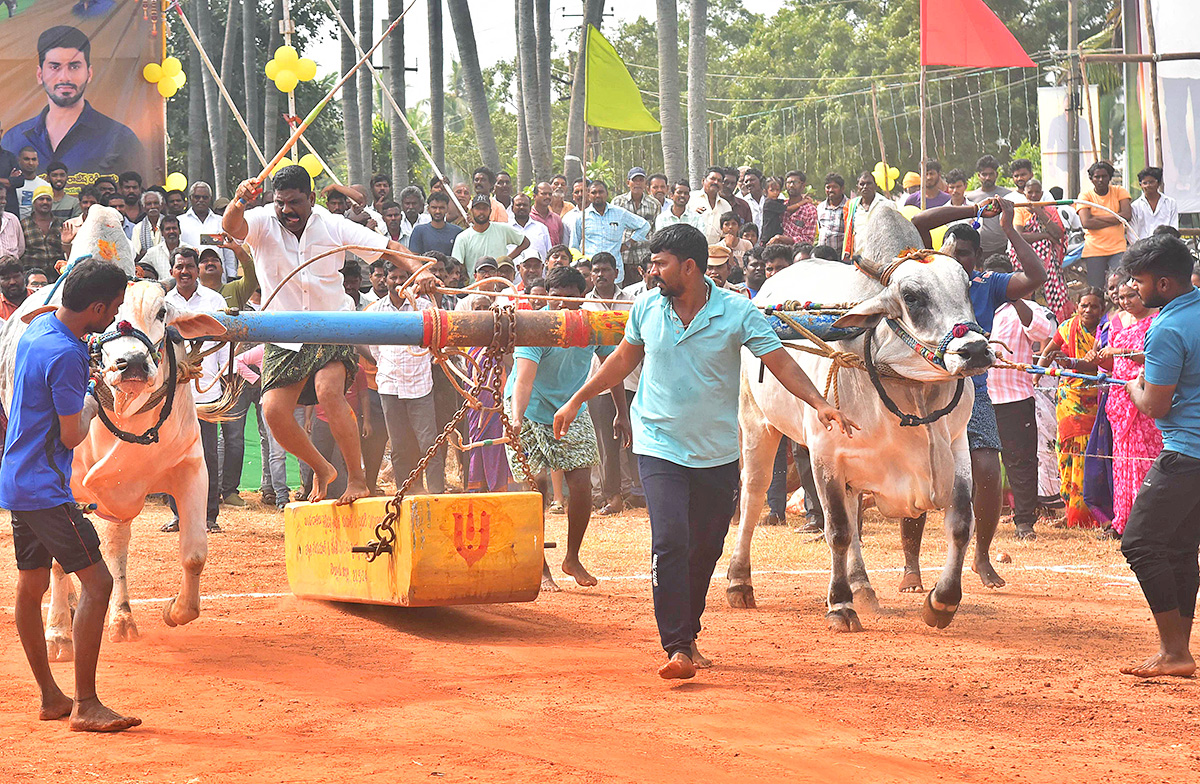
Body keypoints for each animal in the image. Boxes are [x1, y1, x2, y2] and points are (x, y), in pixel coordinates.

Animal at [724, 208, 988, 629]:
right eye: (911, 296)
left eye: (966, 285)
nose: (975, 350)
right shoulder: (825, 454)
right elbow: (837, 531)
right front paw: (840, 604)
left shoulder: (956, 443)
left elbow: (961, 522)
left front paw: (942, 601)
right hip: (756, 422)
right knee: (752, 494)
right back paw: (739, 582)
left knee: (852, 511)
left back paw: (863, 585)